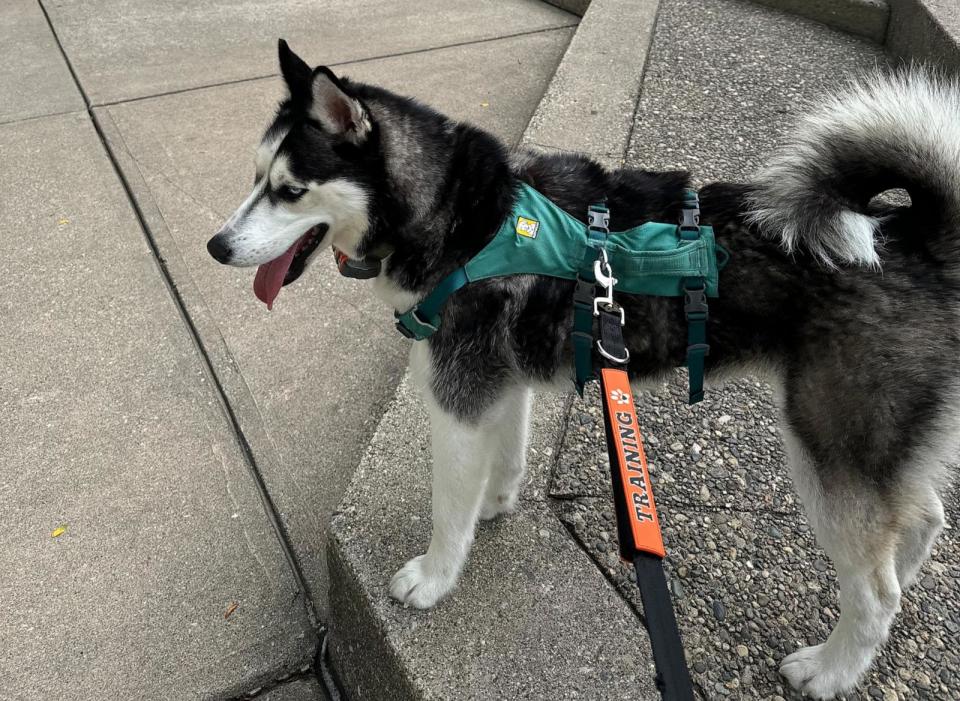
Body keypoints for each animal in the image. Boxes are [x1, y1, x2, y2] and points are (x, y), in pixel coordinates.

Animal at [206, 41, 956, 696]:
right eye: (254, 178)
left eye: (291, 190)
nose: (216, 247)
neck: (462, 215)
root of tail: (915, 236)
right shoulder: (500, 382)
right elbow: (505, 456)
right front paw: (497, 504)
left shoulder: (456, 398)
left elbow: (448, 506)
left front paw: (436, 577)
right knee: (921, 519)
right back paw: (901, 580)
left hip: (828, 448)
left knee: (876, 590)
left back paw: (832, 670)